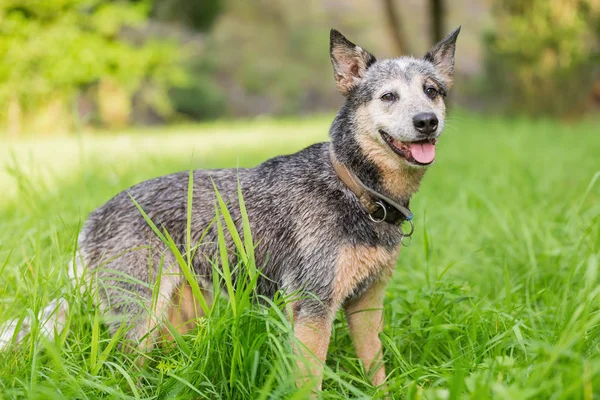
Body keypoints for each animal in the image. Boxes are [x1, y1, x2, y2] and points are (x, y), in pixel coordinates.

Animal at [0, 28, 462, 390]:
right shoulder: (312, 309)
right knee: (118, 371)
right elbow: (309, 382)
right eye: (388, 96)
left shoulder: (367, 304)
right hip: (138, 320)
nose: (426, 121)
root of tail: (95, 216)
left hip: (178, 316)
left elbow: (376, 371)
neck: (356, 190)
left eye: (432, 91)